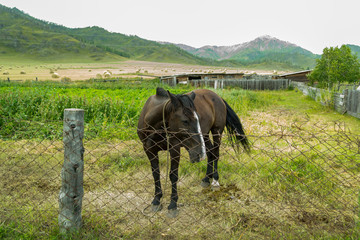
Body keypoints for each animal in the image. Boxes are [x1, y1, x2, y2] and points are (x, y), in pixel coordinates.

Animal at [136, 87, 249, 217]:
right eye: (185, 121)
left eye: (198, 119)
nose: (198, 154)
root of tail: (218, 97)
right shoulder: (149, 150)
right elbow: (155, 174)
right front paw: (156, 200)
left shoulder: (175, 149)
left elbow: (173, 176)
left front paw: (173, 204)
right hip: (205, 135)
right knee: (210, 153)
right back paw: (206, 178)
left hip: (216, 131)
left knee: (215, 154)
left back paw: (215, 180)